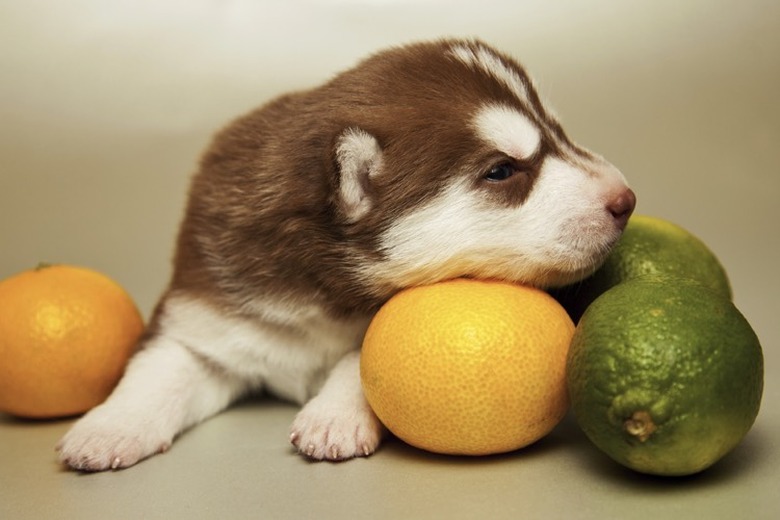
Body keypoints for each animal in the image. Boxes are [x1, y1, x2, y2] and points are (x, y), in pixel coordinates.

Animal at [59, 38, 632, 470]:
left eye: (561, 133)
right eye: (502, 170)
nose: (625, 200)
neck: (319, 294)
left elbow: (361, 357)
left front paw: (333, 416)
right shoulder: (202, 311)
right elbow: (158, 367)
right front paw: (109, 428)